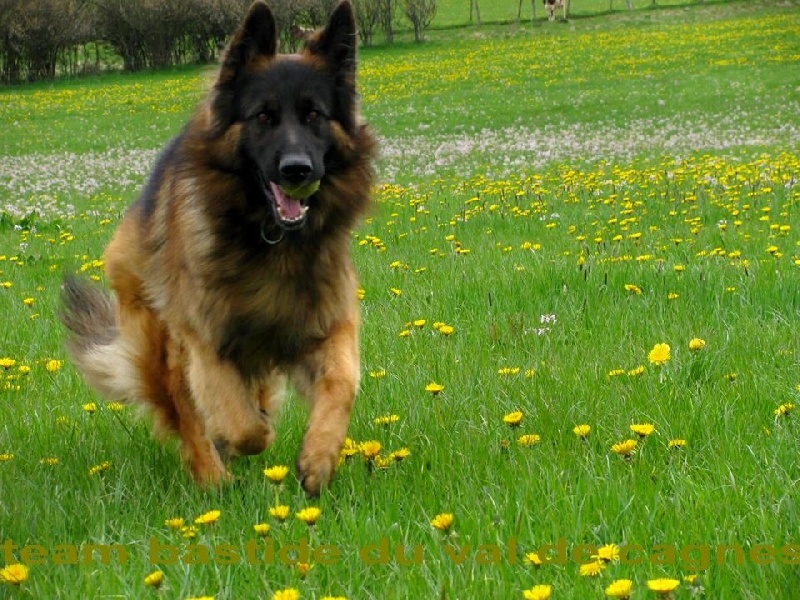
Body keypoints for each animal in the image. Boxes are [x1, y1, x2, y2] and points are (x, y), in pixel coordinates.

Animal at [60, 1, 378, 496]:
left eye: (314, 115)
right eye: (264, 116)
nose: (297, 170)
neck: (270, 240)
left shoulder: (327, 321)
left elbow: (343, 384)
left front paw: (318, 459)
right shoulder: (206, 341)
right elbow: (245, 426)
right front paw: (239, 438)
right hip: (164, 340)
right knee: (185, 407)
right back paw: (212, 477)